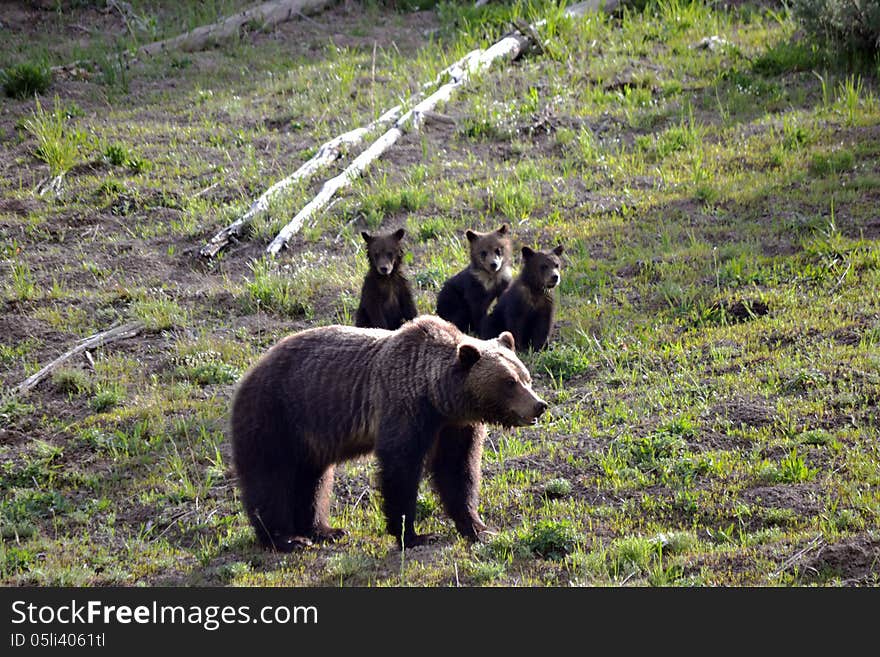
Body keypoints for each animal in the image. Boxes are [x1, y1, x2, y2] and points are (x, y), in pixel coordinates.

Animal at [230, 312, 548, 548]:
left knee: (313, 480)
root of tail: (250, 371)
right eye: (509, 382)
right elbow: (401, 468)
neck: (439, 398)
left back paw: (324, 530)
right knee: (270, 478)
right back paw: (286, 538)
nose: (539, 405)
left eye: (526, 377)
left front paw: (478, 527)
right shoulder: (403, 407)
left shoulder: (455, 427)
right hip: (275, 415)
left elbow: (458, 472)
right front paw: (413, 534)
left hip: (310, 436)